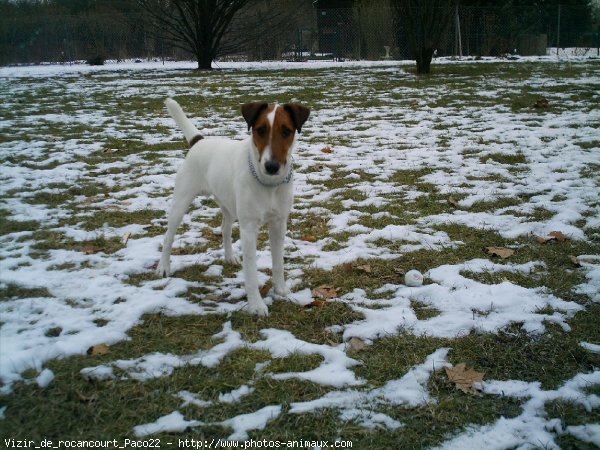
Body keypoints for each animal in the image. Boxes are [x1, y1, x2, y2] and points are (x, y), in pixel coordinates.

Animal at [155, 98, 310, 316]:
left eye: (287, 131)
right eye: (260, 130)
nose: (271, 166)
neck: (269, 185)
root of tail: (200, 141)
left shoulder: (279, 224)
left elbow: (278, 263)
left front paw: (281, 289)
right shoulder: (249, 229)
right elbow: (251, 273)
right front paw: (256, 305)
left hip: (228, 204)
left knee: (225, 228)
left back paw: (230, 256)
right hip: (181, 201)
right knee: (169, 236)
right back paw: (163, 266)